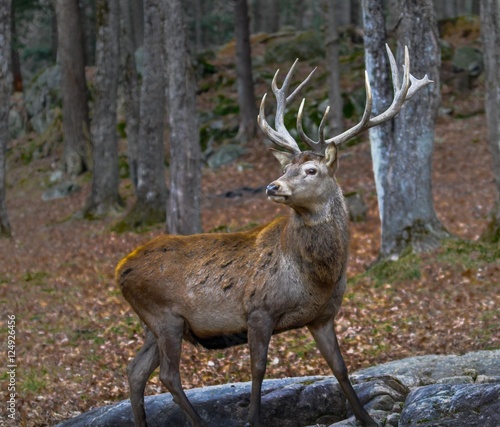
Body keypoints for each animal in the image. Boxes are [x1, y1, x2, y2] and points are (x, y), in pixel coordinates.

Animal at [116, 46, 430, 427]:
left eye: (310, 170)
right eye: (284, 167)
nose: (272, 186)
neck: (316, 276)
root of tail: (119, 271)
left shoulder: (323, 316)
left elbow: (340, 368)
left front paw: (367, 419)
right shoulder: (258, 309)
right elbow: (258, 370)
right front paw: (253, 418)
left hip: (153, 324)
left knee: (135, 371)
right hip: (166, 317)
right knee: (167, 376)